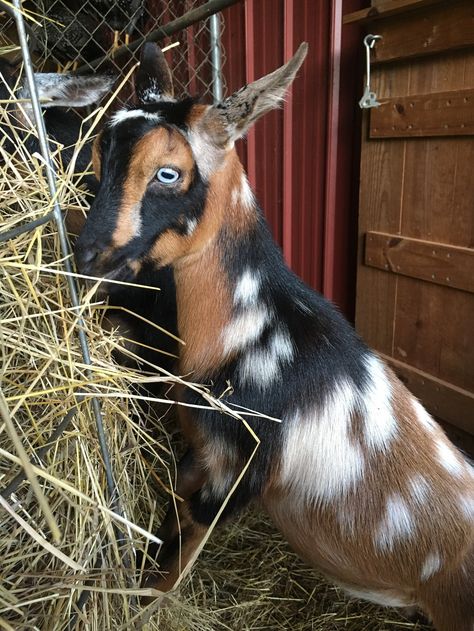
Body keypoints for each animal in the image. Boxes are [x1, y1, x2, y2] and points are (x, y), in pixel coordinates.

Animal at [72, 44, 472, 631]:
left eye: (167, 172)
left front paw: (136, 602)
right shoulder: (201, 449)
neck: (255, 330)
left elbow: (172, 569)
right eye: (100, 158)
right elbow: (169, 519)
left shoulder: (237, 476)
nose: (87, 255)